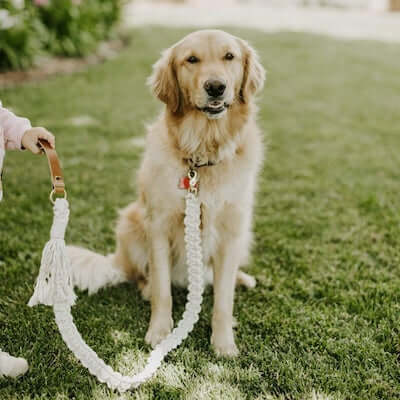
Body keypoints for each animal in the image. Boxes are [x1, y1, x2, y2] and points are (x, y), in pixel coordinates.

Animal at [69, 30, 266, 356]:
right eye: (191, 59)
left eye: (229, 56)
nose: (216, 87)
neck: (202, 153)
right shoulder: (158, 226)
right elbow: (163, 289)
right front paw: (160, 331)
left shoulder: (230, 232)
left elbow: (223, 301)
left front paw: (223, 343)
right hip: (131, 223)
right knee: (141, 276)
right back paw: (146, 288)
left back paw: (242, 278)